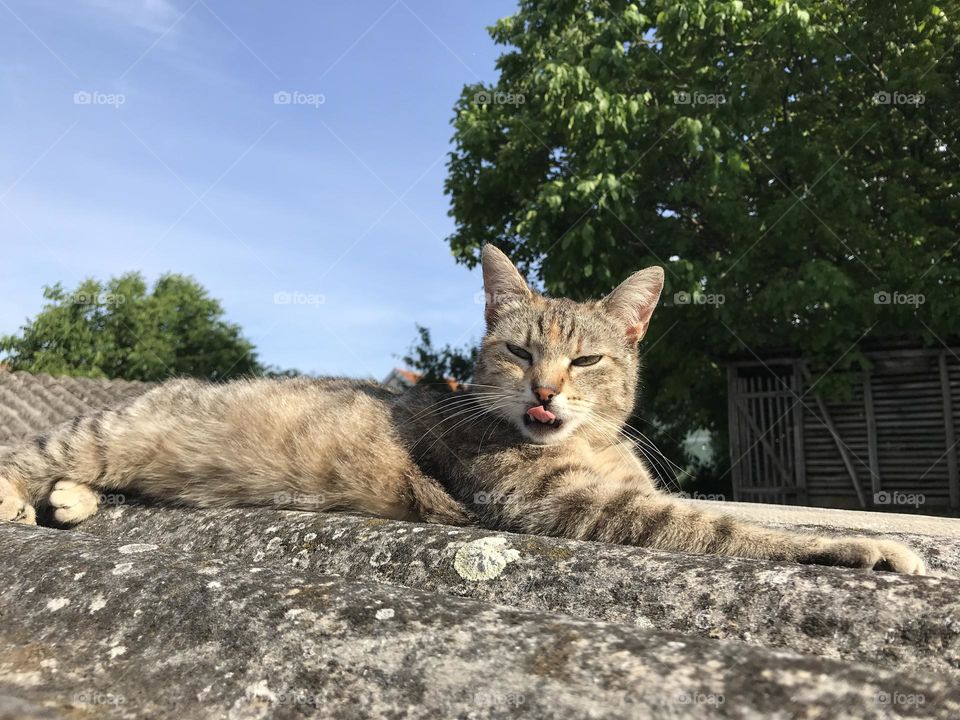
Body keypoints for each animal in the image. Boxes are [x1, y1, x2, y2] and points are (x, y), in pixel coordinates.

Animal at [1, 246, 928, 572]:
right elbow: (728, 527)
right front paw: (858, 546)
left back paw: (74, 503)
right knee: (26, 455)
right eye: (519, 352)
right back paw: (24, 498)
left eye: (585, 359)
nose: (545, 389)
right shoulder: (577, 507)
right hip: (105, 430)